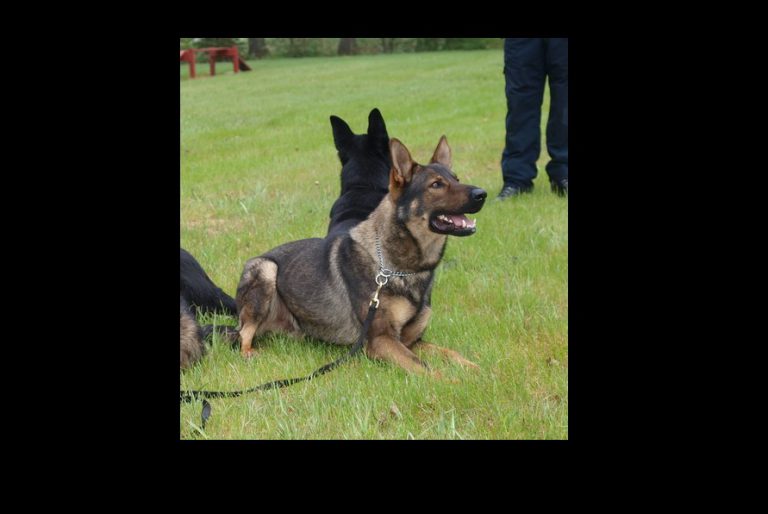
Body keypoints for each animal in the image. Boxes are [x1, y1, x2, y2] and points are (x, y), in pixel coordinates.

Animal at [236, 134, 486, 370]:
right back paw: (249, 353)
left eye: (456, 179)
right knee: (243, 334)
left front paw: (478, 370)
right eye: (436, 185)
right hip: (267, 270)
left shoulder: (411, 341)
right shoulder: (381, 340)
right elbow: (425, 368)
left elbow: (451, 354)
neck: (397, 267)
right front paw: (451, 381)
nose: (482, 194)